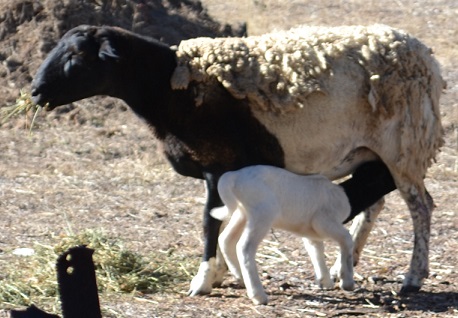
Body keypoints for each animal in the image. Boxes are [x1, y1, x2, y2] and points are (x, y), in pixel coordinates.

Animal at [209, 165, 356, 304]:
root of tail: (233, 176)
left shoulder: (311, 233)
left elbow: (316, 249)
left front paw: (325, 281)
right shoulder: (324, 222)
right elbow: (347, 239)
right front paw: (347, 282)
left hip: (242, 213)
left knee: (226, 239)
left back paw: (239, 276)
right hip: (263, 213)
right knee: (244, 247)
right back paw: (258, 295)